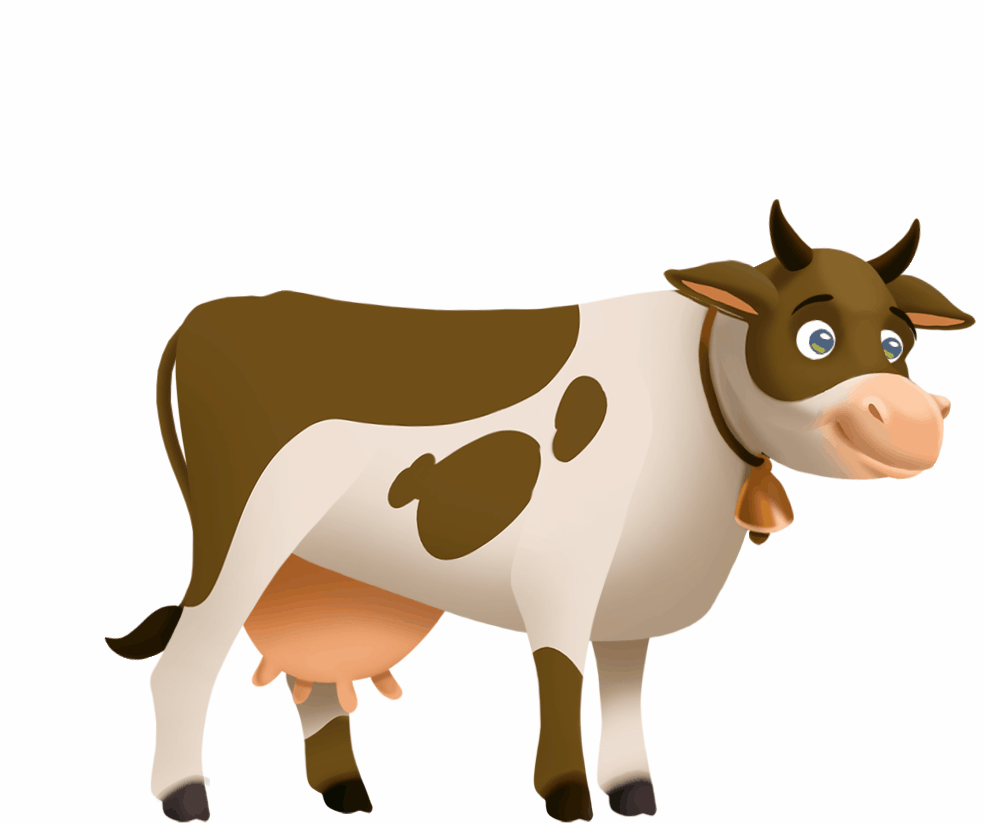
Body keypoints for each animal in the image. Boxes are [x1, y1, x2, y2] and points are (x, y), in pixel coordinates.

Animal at [106, 201, 974, 822]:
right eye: (816, 336)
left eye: (896, 343)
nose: (911, 420)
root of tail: (218, 311)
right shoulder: (562, 568)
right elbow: (561, 673)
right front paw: (567, 794)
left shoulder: (635, 584)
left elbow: (623, 679)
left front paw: (633, 790)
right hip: (243, 533)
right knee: (184, 659)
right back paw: (187, 796)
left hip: (313, 557)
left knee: (308, 669)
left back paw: (345, 790)